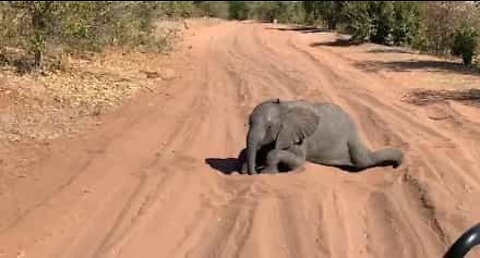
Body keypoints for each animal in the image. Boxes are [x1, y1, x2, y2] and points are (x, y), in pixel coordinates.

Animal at [238, 98, 404, 174]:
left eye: (269, 127)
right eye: (248, 123)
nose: (252, 172)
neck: (284, 106)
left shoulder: (298, 137)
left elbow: (296, 161)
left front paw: (266, 173)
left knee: (362, 161)